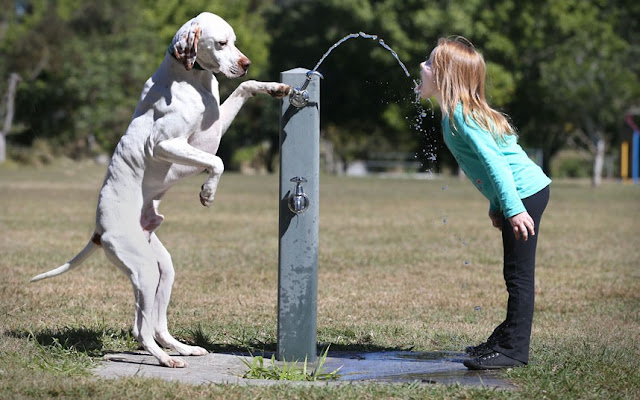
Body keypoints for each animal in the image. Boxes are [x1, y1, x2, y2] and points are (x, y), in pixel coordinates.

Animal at [29, 11, 290, 368]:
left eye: (235, 42)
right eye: (221, 43)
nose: (246, 63)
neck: (191, 79)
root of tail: (98, 230)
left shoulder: (213, 129)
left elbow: (244, 88)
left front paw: (275, 87)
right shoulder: (167, 144)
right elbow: (218, 161)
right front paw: (207, 192)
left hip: (163, 270)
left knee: (156, 324)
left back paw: (182, 349)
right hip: (144, 270)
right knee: (141, 329)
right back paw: (166, 360)